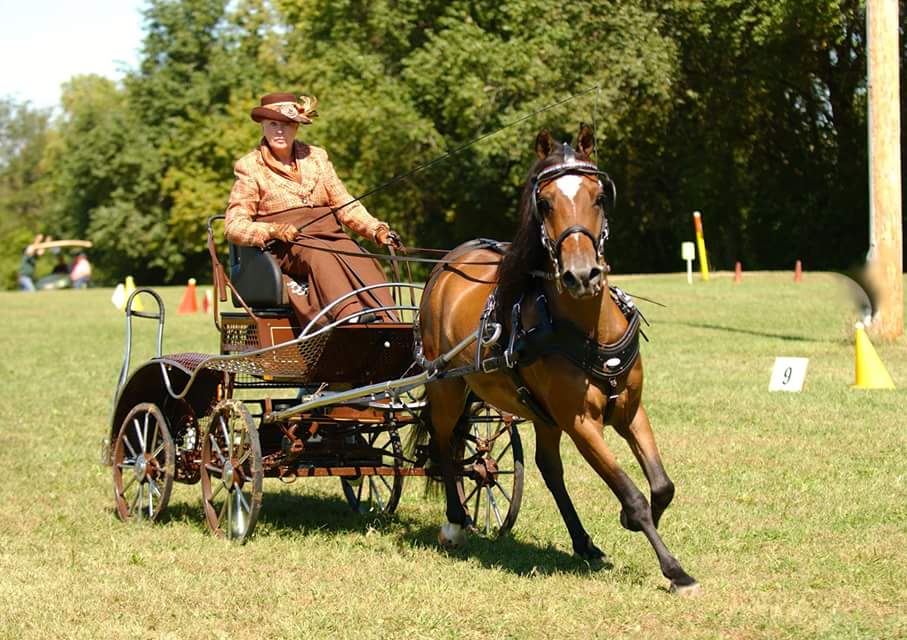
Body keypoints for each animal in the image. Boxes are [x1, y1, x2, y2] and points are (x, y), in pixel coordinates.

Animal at [416, 124, 700, 595]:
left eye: (599, 196)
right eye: (545, 202)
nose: (582, 274)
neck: (588, 330)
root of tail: (448, 263)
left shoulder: (630, 410)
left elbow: (662, 486)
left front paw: (630, 523)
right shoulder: (582, 424)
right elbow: (633, 494)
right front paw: (675, 570)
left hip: (540, 413)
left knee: (546, 468)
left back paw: (582, 542)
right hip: (447, 384)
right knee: (443, 442)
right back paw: (455, 523)